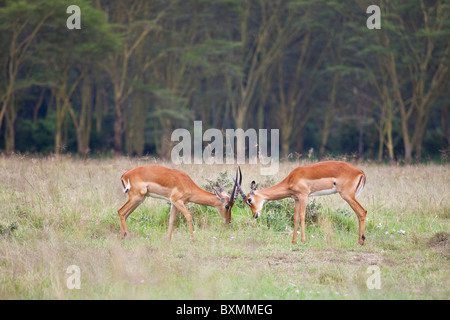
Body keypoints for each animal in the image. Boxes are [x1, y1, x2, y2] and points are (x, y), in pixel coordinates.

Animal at [234, 161, 368, 246]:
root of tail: (360, 172)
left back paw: (360, 242)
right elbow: (295, 218)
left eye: (249, 200)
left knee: (362, 212)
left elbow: (303, 216)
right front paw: (293, 242)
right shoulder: (296, 199)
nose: (255, 215)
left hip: (347, 195)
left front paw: (303, 241)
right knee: (360, 213)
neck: (291, 179)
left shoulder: (303, 196)